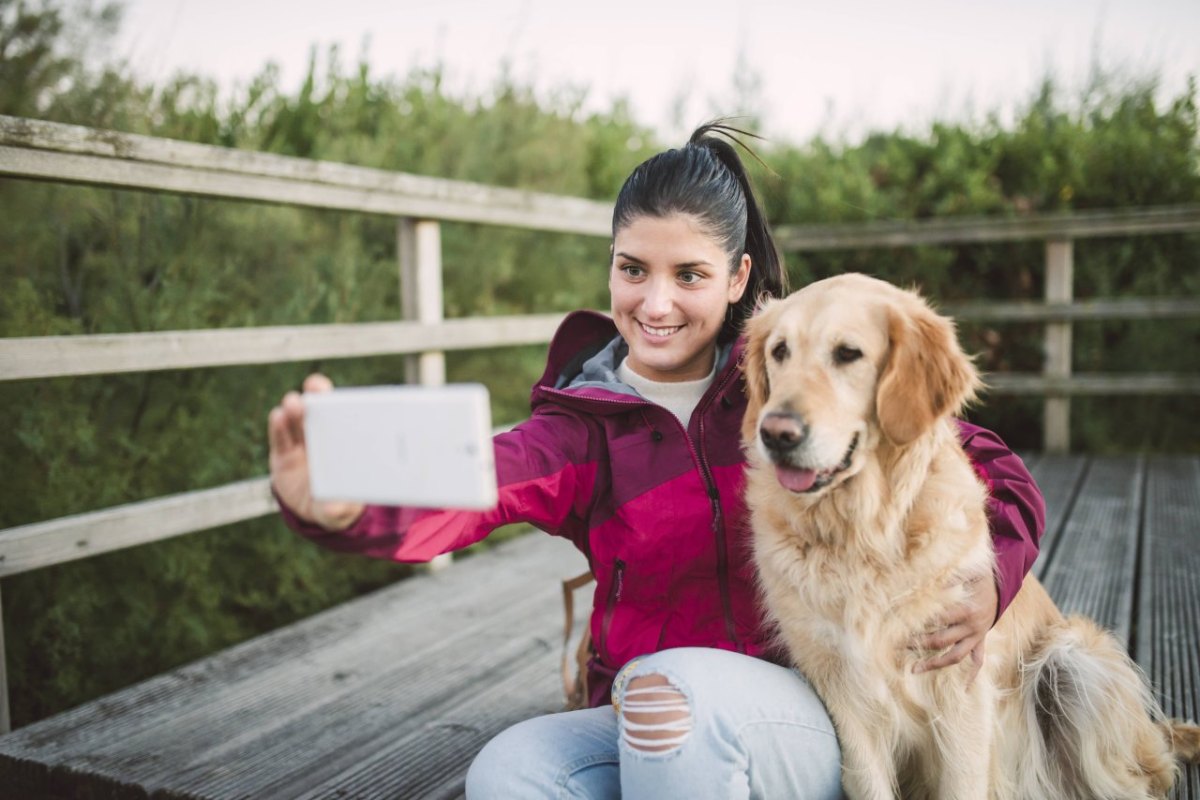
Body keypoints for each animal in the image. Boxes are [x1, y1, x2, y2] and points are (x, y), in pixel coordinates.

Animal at [739, 275, 1200, 800]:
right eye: (779, 351)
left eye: (847, 353)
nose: (775, 433)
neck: (863, 532)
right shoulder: (841, 692)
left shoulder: (959, 687)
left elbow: (961, 780)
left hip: (1072, 660)